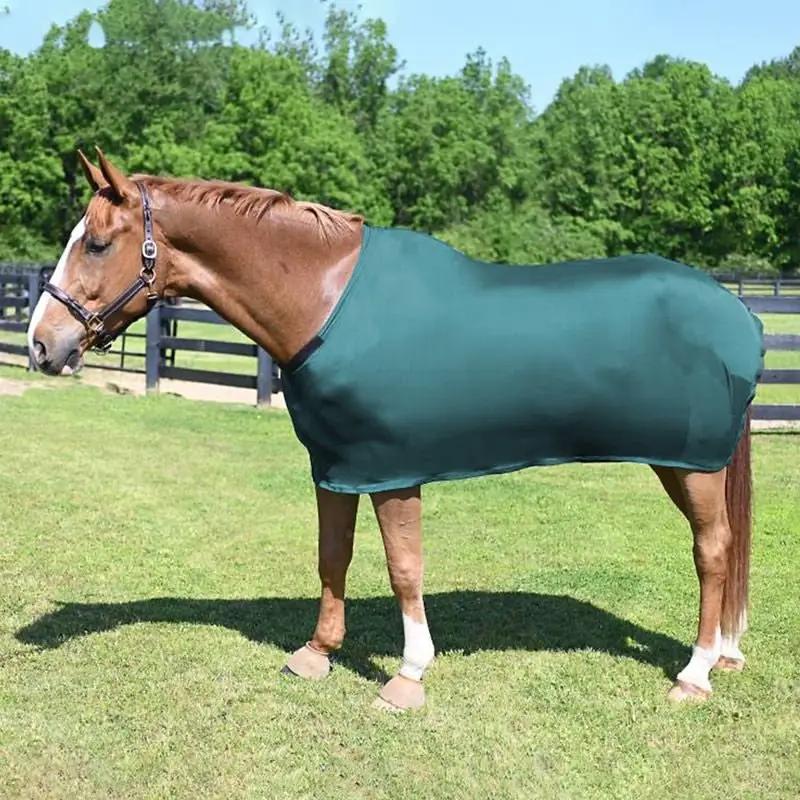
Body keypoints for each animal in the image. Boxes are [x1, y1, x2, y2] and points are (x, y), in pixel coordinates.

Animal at [28, 150, 761, 711]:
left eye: (96, 243)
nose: (40, 345)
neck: (325, 302)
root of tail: (740, 314)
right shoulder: (336, 466)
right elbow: (333, 556)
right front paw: (316, 653)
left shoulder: (392, 470)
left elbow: (405, 567)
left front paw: (407, 677)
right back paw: (724, 657)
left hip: (689, 466)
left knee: (713, 551)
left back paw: (695, 674)